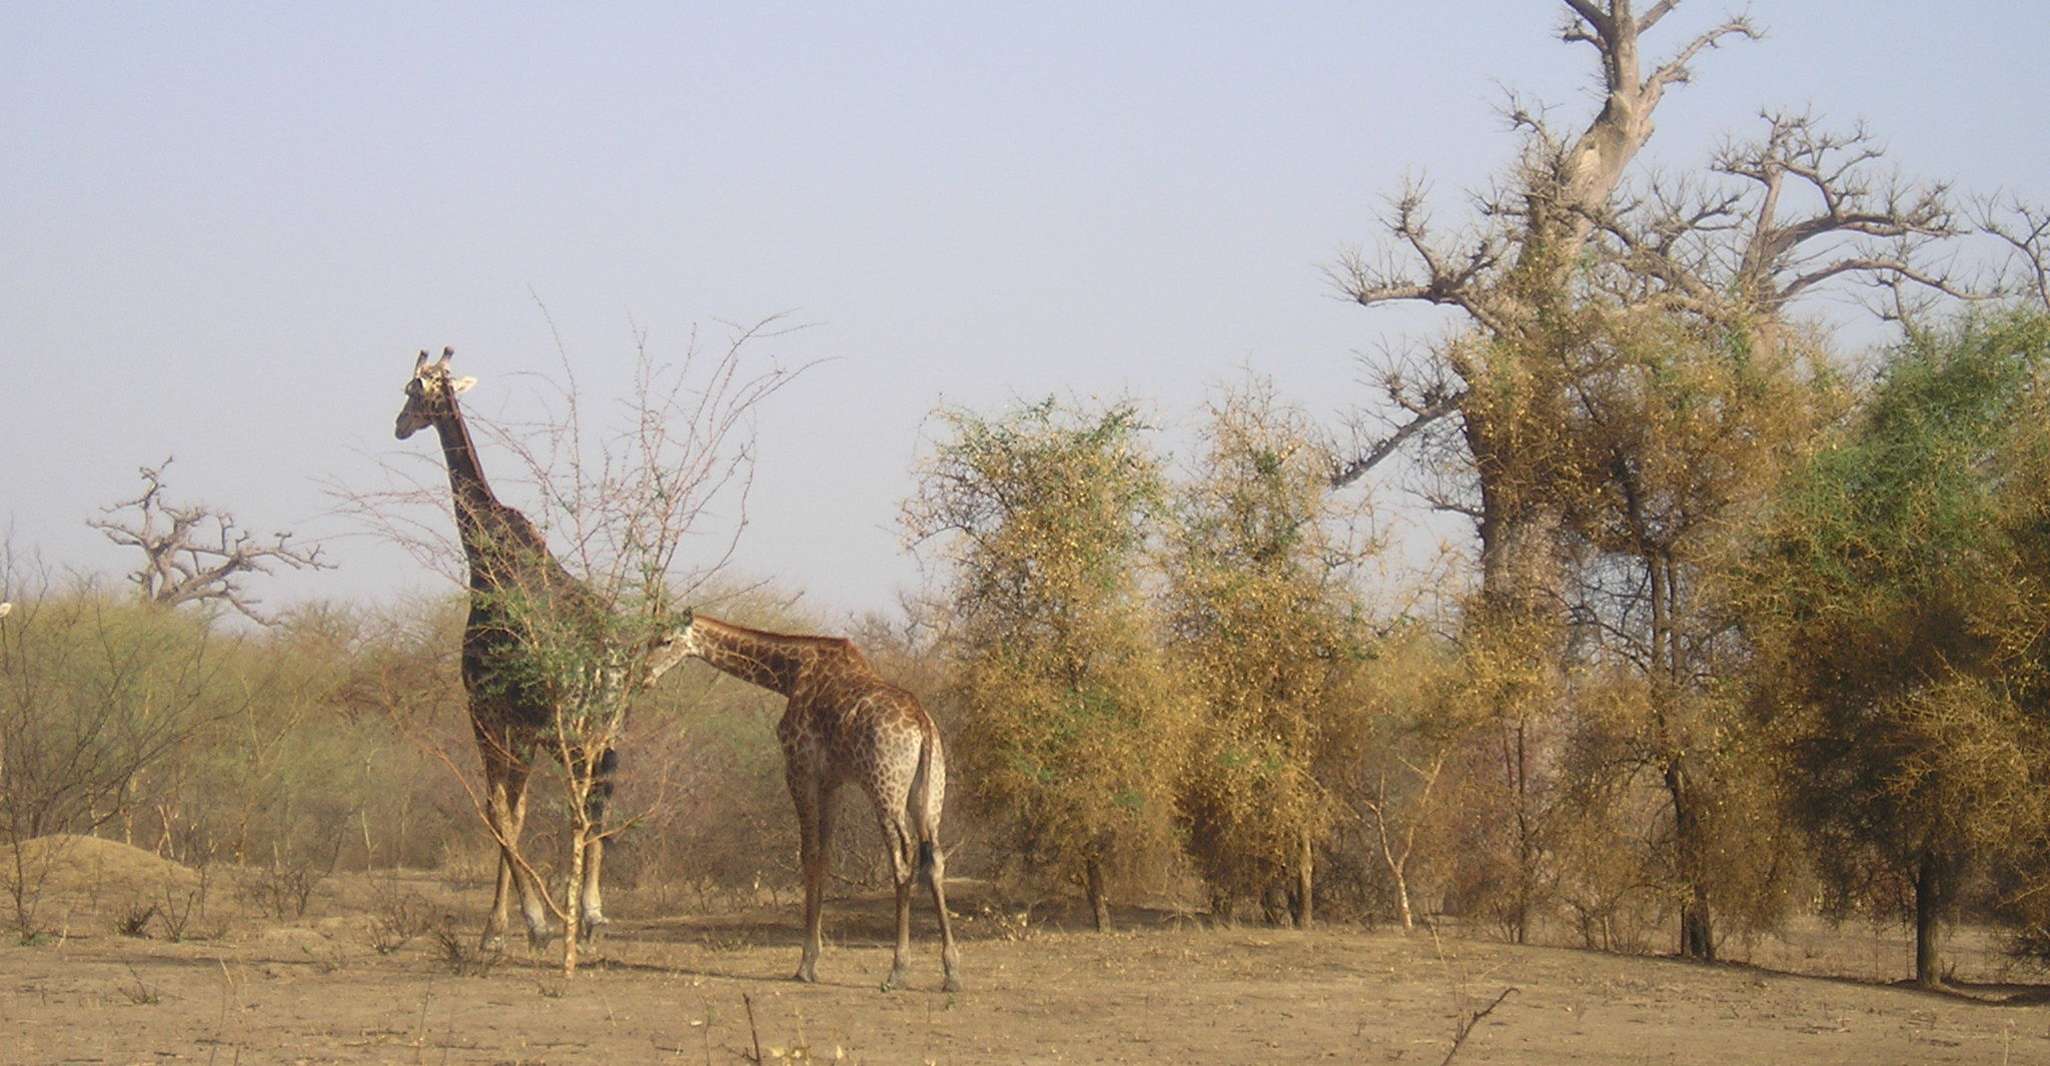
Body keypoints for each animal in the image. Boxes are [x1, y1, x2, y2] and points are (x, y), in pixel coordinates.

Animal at [389, 350, 664, 951]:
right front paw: (513, 924)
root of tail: (609, 660)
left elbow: (499, 814)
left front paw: (516, 927)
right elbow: (512, 813)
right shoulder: (520, 727)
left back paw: (579, 916)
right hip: (605, 729)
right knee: (597, 800)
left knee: (581, 802)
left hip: (570, 731)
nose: (398, 425)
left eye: (413, 390)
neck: (486, 559)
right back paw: (590, 916)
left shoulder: (487, 712)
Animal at [664, 610, 967, 996]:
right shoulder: (831, 782)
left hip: (885, 788)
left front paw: (806, 964)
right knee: (936, 860)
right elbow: (824, 855)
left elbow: (808, 855)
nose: (644, 671)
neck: (789, 674)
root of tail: (923, 725)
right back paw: (952, 971)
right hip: (930, 794)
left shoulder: (801, 770)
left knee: (902, 858)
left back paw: (897, 970)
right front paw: (813, 958)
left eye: (663, 640)